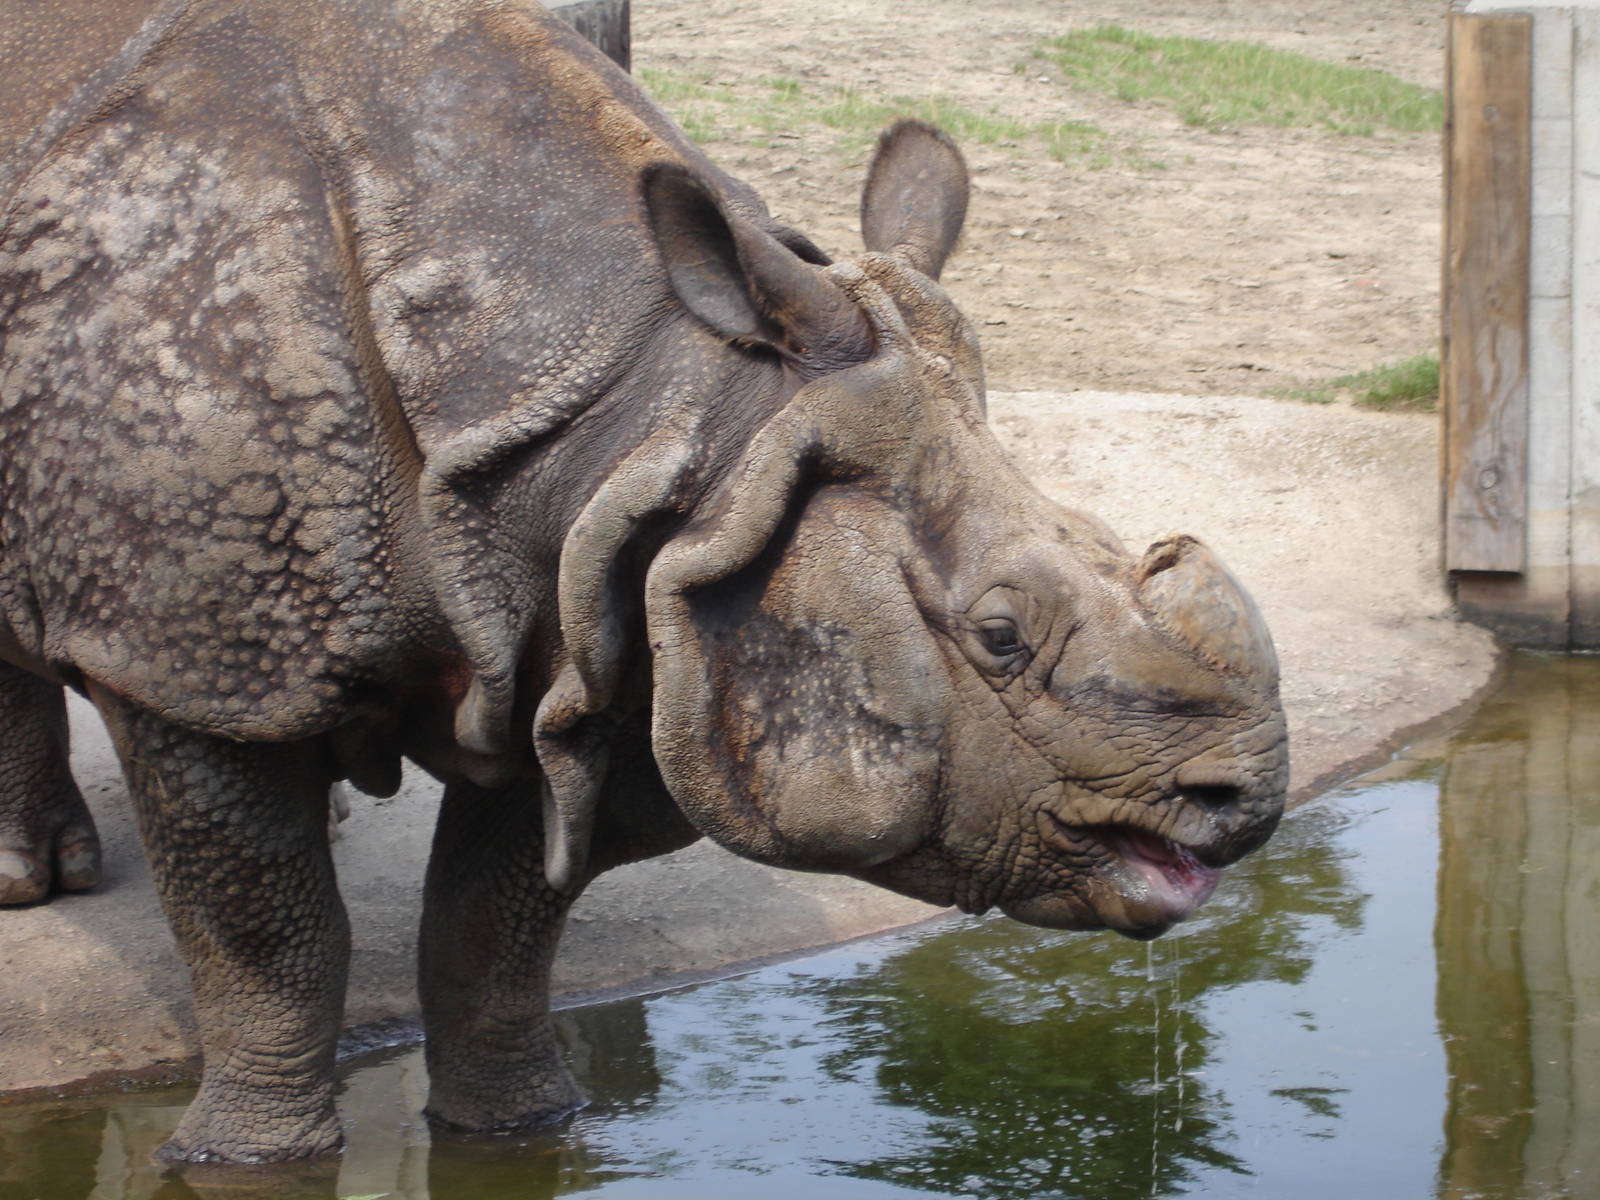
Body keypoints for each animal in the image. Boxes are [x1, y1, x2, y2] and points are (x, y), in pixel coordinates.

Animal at [0, 0, 1287, 1165]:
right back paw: (33, 882)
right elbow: (268, 935)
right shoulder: (171, 645)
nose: (1242, 803)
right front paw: (250, 1158)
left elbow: (491, 932)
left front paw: (520, 1132)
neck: (664, 406)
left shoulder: (588, 621)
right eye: (1001, 635)